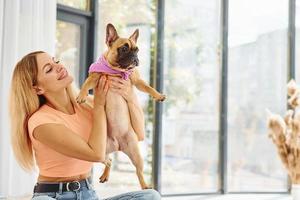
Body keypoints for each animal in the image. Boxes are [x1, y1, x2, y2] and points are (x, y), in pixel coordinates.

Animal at [76, 23, 166, 189]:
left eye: (137, 50)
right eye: (124, 49)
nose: (135, 57)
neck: (116, 70)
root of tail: (117, 146)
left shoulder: (136, 80)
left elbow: (148, 87)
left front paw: (158, 95)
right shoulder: (95, 77)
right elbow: (86, 84)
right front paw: (81, 95)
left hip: (135, 154)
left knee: (138, 171)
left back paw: (145, 186)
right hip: (99, 152)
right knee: (109, 161)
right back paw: (105, 175)